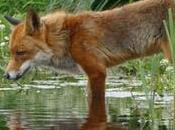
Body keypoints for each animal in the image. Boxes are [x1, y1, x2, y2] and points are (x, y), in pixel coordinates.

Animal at [4, 0, 173, 98]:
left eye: (20, 53)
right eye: (11, 53)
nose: (6, 75)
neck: (69, 38)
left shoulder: (97, 72)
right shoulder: (91, 75)